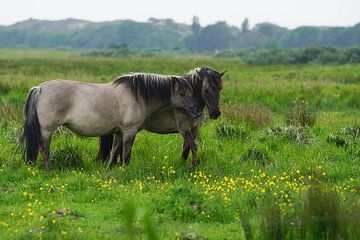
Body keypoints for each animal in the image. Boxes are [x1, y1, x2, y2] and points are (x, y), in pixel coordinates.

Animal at [21, 74, 202, 171]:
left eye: (190, 92)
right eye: (181, 93)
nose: (197, 109)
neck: (137, 95)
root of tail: (40, 88)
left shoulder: (118, 132)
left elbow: (114, 151)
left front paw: (109, 169)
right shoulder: (129, 131)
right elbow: (126, 153)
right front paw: (124, 171)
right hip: (47, 129)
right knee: (44, 149)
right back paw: (49, 171)